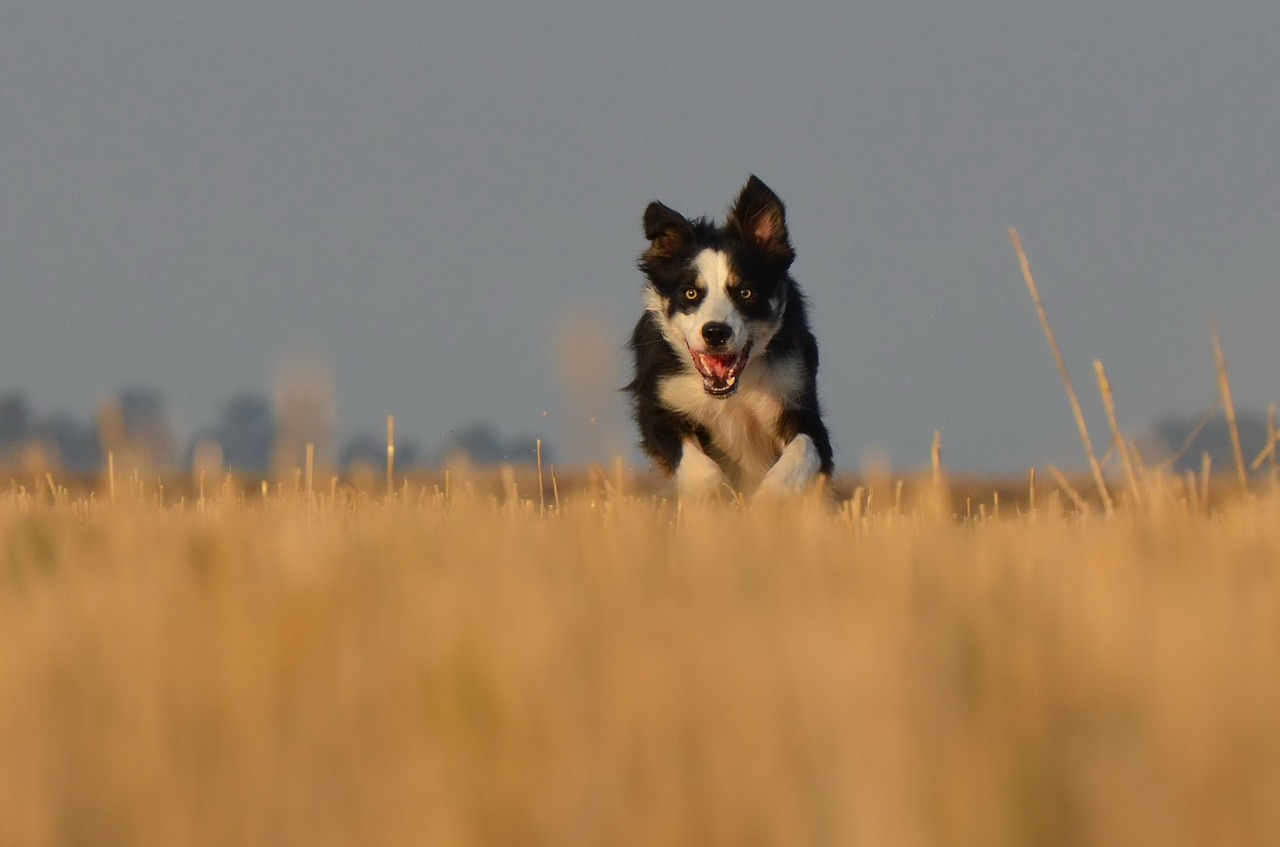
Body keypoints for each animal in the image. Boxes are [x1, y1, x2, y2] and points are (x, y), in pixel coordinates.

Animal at [624, 175, 834, 501]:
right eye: (690, 293)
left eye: (745, 292)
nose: (715, 332)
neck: (731, 393)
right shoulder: (658, 405)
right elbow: (697, 464)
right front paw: (716, 497)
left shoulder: (799, 401)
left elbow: (801, 453)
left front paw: (770, 500)